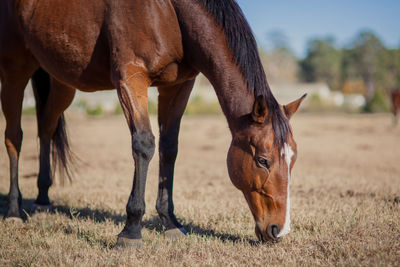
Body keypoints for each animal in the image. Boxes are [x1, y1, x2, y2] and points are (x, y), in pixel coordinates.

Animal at [0, 0, 306, 248]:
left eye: (292, 161)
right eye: (263, 161)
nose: (279, 230)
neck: (168, 10)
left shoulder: (178, 86)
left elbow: (169, 148)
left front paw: (170, 221)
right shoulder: (130, 77)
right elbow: (144, 144)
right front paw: (131, 230)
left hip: (61, 82)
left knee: (46, 128)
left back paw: (43, 199)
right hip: (15, 69)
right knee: (14, 137)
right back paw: (14, 210)